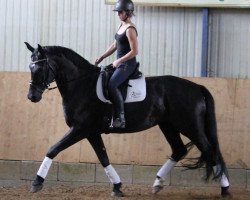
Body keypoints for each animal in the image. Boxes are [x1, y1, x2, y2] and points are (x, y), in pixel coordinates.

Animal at [24, 43, 230, 198]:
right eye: (30, 67)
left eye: (39, 67)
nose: (32, 97)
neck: (82, 84)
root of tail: (196, 87)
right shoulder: (91, 132)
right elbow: (103, 158)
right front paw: (117, 187)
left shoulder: (80, 129)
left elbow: (53, 149)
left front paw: (36, 182)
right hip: (168, 125)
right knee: (179, 150)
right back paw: (157, 183)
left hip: (190, 126)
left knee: (210, 150)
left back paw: (225, 189)